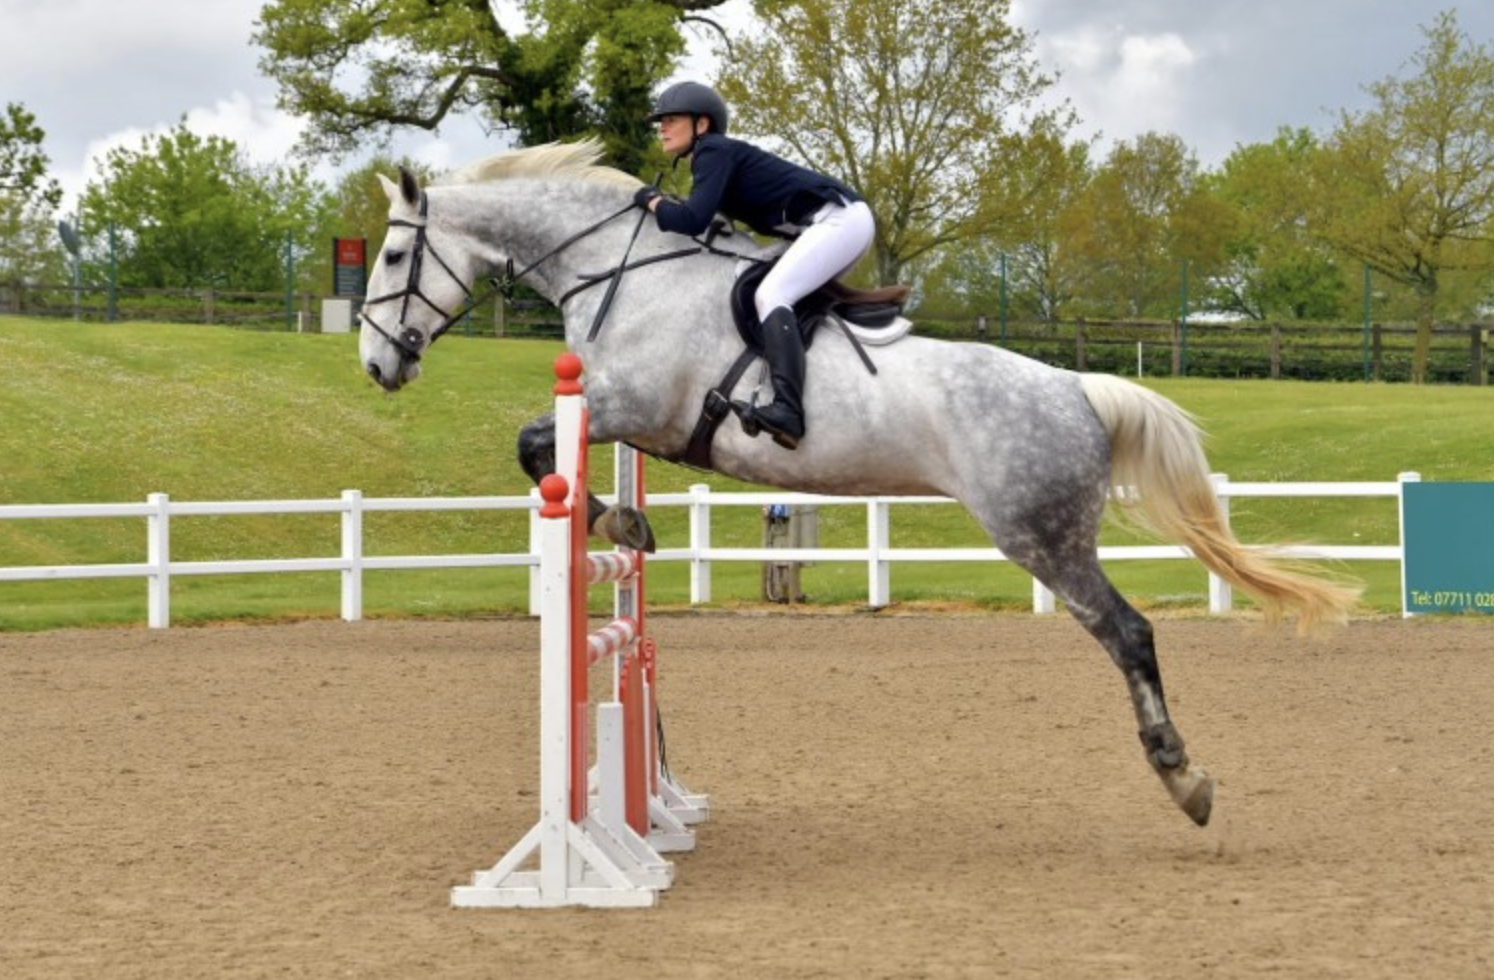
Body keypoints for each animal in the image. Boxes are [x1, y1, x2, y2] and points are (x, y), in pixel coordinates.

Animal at [358, 140, 1359, 828]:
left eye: (395, 259)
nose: (376, 364)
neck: (622, 271)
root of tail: (1079, 388)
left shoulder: (625, 404)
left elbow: (536, 445)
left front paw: (622, 526)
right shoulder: (621, 415)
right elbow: (547, 456)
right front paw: (629, 525)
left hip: (1039, 534)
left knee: (1128, 633)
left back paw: (1183, 776)